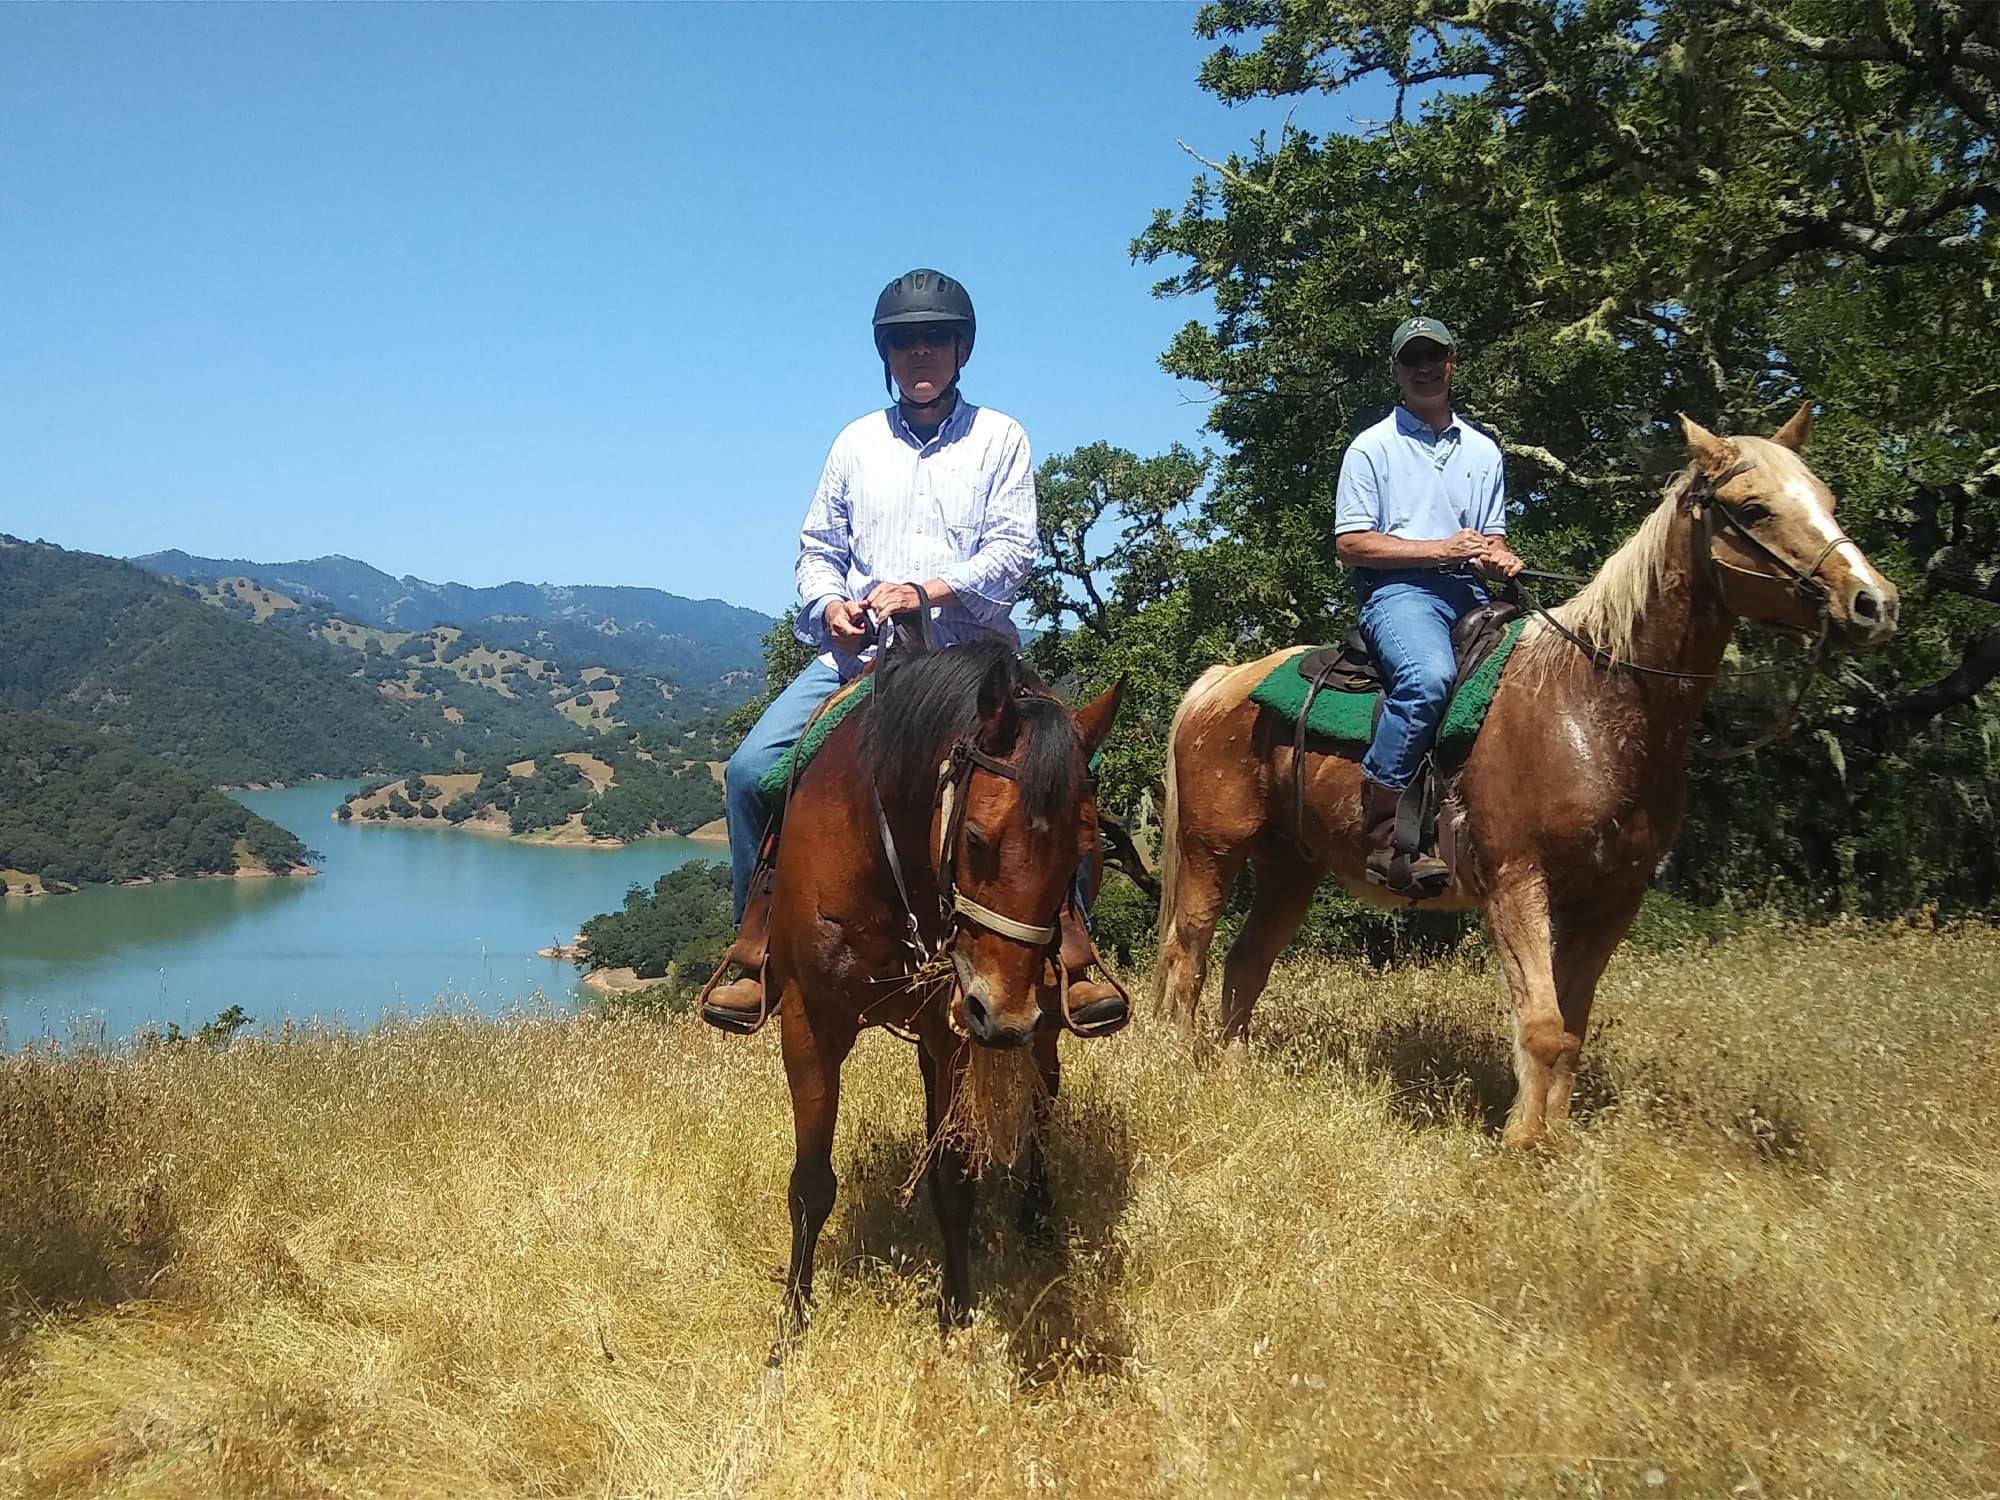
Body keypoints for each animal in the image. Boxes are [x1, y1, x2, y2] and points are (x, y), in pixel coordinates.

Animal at [760, 640, 1120, 1344]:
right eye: (977, 839)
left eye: (1082, 850)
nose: (1002, 1016)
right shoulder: (809, 1023)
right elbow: (810, 1183)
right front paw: (791, 1319)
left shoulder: (953, 1031)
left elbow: (953, 1178)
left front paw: (956, 1311)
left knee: (1043, 1099)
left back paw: (1037, 1215)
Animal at [1152, 406, 1896, 1144]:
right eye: (1754, 508)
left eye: (1827, 499)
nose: (1874, 603)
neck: (1592, 700)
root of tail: (1222, 680)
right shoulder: (1517, 884)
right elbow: (1539, 1027)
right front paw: (1517, 1147)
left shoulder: (1611, 900)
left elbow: (1571, 1027)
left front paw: (1553, 1141)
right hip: (1213, 850)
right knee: (1187, 957)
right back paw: (1181, 1077)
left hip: (1291, 866)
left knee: (1246, 962)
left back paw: (1231, 1075)